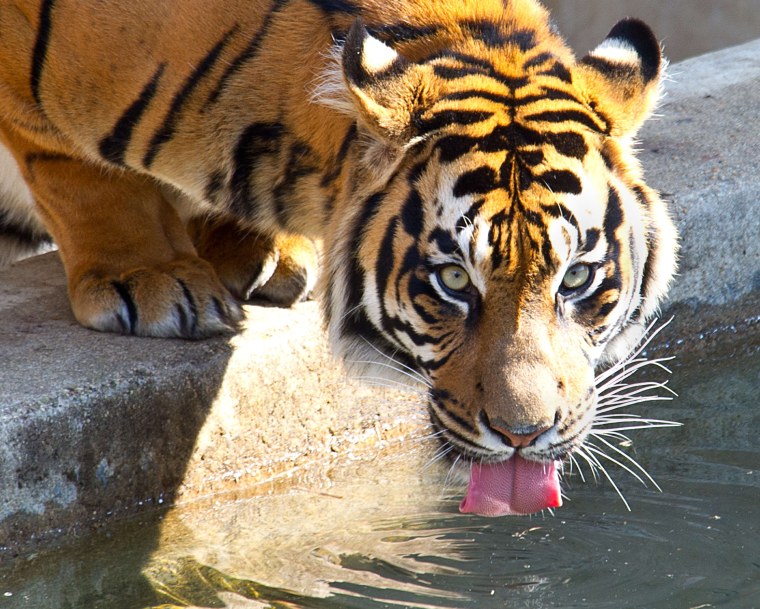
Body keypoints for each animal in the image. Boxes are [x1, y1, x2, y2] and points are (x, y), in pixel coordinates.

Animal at [0, 0, 678, 515]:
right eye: (455, 280)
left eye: (577, 277)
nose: (523, 435)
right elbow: (75, 168)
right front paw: (151, 276)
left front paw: (261, 251)